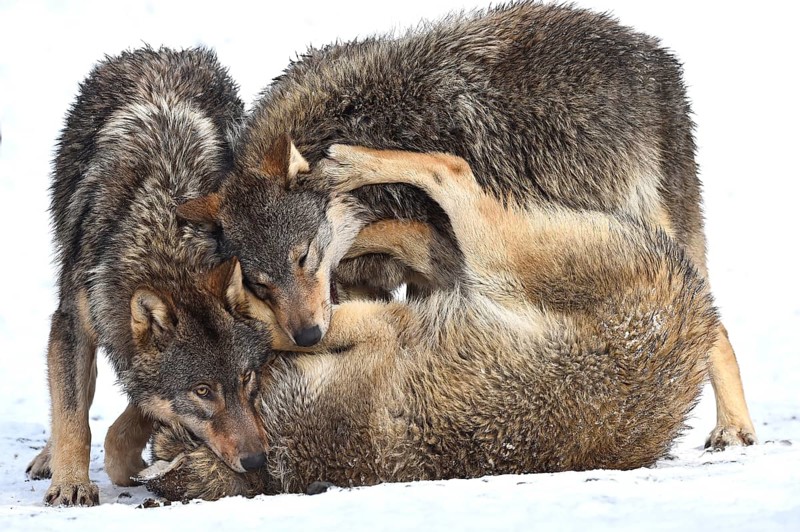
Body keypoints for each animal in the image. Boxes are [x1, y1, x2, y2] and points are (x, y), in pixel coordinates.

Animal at [25, 47, 275, 506]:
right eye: (203, 391)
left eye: (246, 378)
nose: (256, 461)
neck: (164, 240)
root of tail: (162, 52)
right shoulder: (74, 321)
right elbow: (73, 416)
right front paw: (71, 483)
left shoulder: (130, 348)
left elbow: (134, 418)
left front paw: (132, 462)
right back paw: (49, 459)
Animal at [142, 145, 717, 501]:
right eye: (203, 395)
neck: (290, 435)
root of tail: (698, 304)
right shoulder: (386, 320)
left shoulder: (382, 325)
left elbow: (288, 325)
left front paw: (243, 301)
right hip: (478, 268)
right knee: (430, 219)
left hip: (492, 257)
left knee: (449, 170)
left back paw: (350, 167)